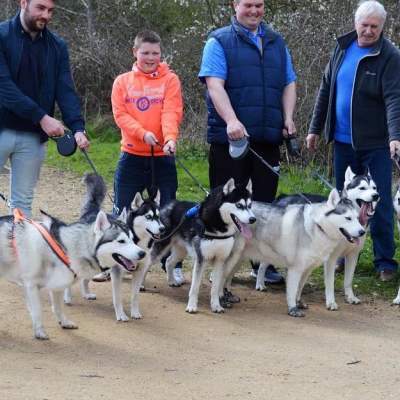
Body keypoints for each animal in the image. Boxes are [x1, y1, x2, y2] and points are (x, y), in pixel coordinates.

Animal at [0, 203, 145, 338]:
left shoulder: (57, 286)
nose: (142, 253)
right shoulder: (31, 286)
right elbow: (37, 311)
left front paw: (64, 322)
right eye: (121, 241)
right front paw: (39, 331)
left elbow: (58, 308)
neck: (64, 246)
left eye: (132, 239)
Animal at [150, 178, 256, 312]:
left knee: (169, 261)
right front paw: (191, 306)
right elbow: (195, 287)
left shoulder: (220, 259)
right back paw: (141, 285)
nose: (253, 219)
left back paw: (172, 281)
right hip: (161, 246)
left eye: (250, 205)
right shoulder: (201, 258)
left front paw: (216, 305)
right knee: (147, 262)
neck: (218, 227)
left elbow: (216, 287)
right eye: (239, 205)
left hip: (181, 251)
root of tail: (170, 205)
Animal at [225, 189, 366, 318]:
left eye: (358, 219)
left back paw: (228, 296)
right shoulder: (295, 269)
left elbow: (299, 289)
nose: (362, 232)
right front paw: (293, 309)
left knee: (228, 278)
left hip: (239, 258)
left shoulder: (307, 269)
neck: (317, 226)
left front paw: (298, 303)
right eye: (348, 218)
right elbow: (292, 291)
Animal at [268, 167, 378, 310]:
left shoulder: (353, 255)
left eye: (374, 188)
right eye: (362, 188)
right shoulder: (331, 258)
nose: (376, 195)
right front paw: (331, 302)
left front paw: (350, 297)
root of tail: (284, 196)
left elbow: (348, 281)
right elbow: (330, 283)